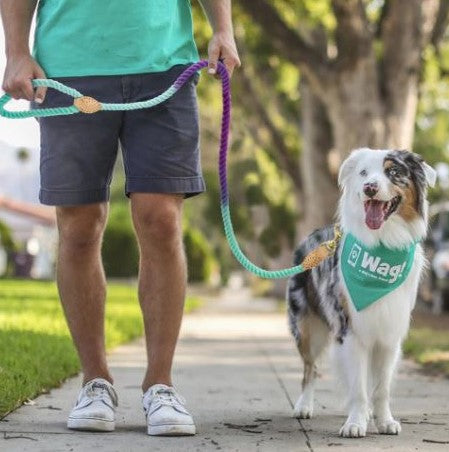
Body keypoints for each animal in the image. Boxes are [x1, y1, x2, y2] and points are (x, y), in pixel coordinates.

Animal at [286, 148, 436, 438]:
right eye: (364, 173)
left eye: (393, 172)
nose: (370, 188)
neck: (383, 243)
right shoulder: (351, 330)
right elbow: (358, 387)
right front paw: (355, 423)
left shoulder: (389, 332)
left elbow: (381, 388)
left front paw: (384, 420)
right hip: (307, 328)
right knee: (310, 368)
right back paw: (304, 406)